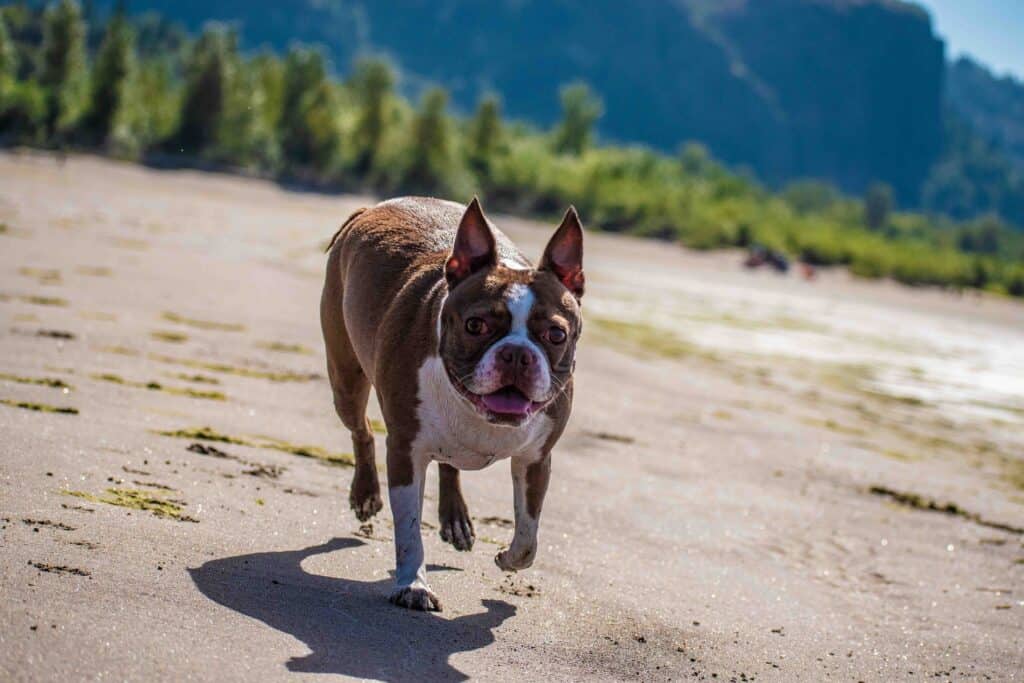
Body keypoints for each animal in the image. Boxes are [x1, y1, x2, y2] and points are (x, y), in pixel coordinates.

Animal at [319, 194, 585, 610]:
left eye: (556, 334)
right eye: (475, 325)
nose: (516, 354)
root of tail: (370, 208)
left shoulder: (536, 459)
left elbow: (528, 539)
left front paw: (506, 559)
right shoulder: (405, 450)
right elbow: (409, 529)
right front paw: (413, 584)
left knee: (449, 463)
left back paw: (455, 519)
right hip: (345, 377)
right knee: (361, 432)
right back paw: (365, 494)